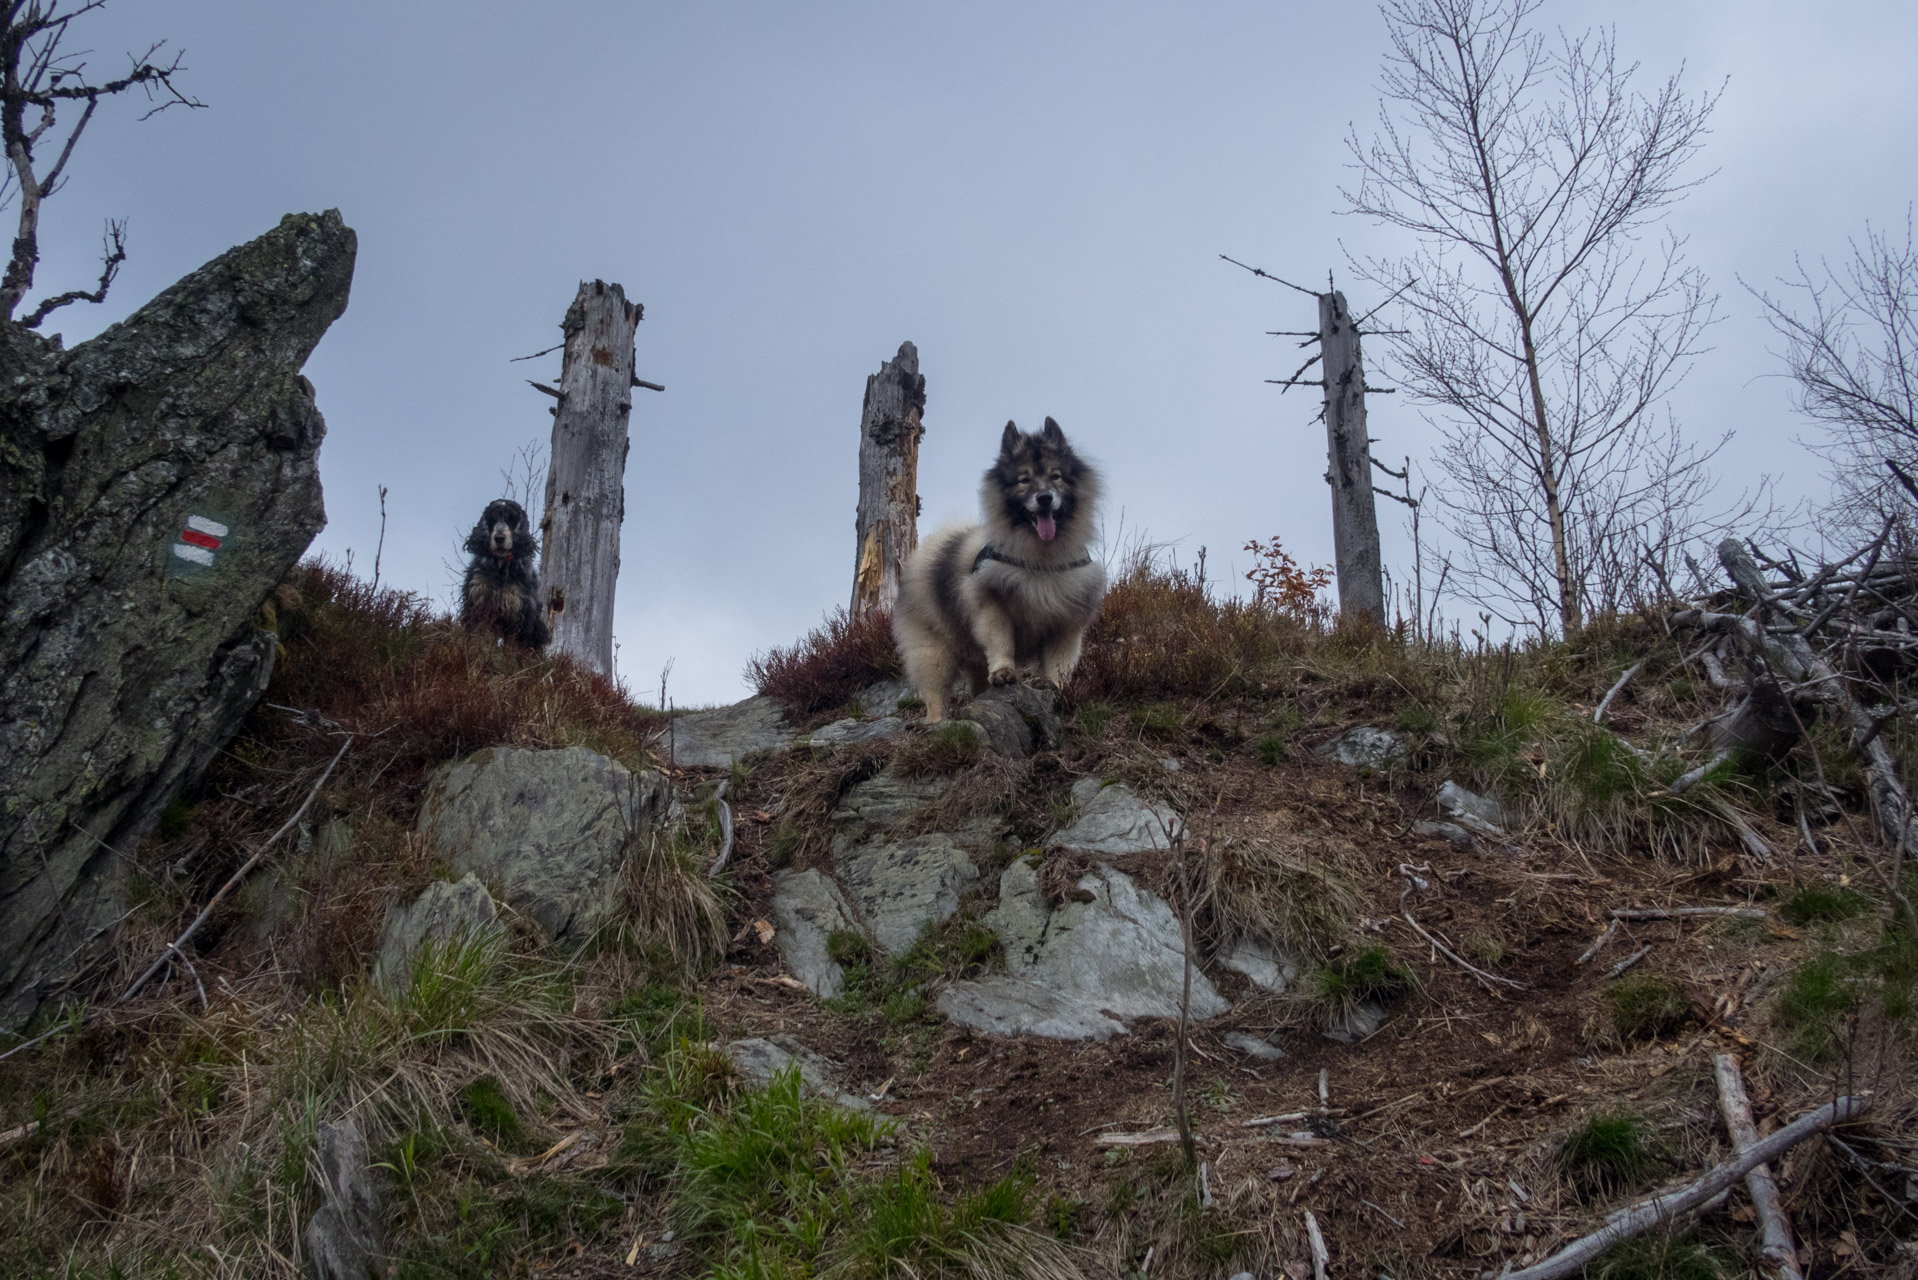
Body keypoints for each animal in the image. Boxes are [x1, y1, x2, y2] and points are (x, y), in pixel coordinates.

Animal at [460, 498, 552, 652]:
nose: (499, 538)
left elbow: (514, 645)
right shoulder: (479, 604)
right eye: (492, 518)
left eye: (511, 519)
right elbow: (479, 635)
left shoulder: (520, 611)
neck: (501, 567)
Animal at [886, 418, 1104, 725]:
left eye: (1056, 476)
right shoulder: (993, 608)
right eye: (1024, 480)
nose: (1045, 498)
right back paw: (938, 722)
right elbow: (1001, 642)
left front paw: (1052, 686)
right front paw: (1004, 672)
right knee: (934, 691)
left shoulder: (1065, 623)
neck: (1040, 560)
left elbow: (1059, 663)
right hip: (934, 650)